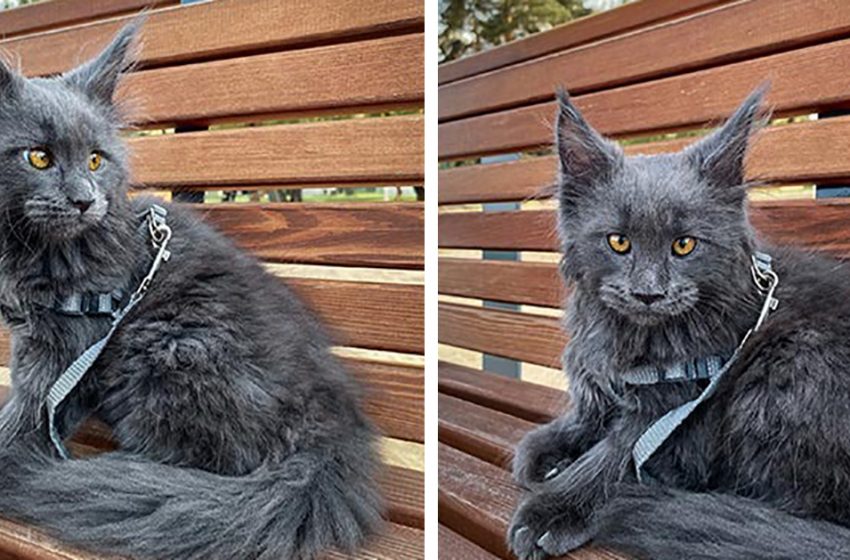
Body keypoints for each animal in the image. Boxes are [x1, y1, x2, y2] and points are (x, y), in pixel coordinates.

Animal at [0, 20, 380, 560]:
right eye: (38, 157)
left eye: (95, 160)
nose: (84, 200)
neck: (39, 249)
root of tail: (333, 427)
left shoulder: (62, 351)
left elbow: (26, 411)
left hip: (168, 343)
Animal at [506, 84, 850, 560]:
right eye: (619, 242)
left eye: (684, 245)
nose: (648, 293)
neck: (635, 339)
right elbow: (585, 418)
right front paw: (548, 449)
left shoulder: (677, 412)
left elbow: (612, 455)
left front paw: (552, 510)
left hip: (790, 364)